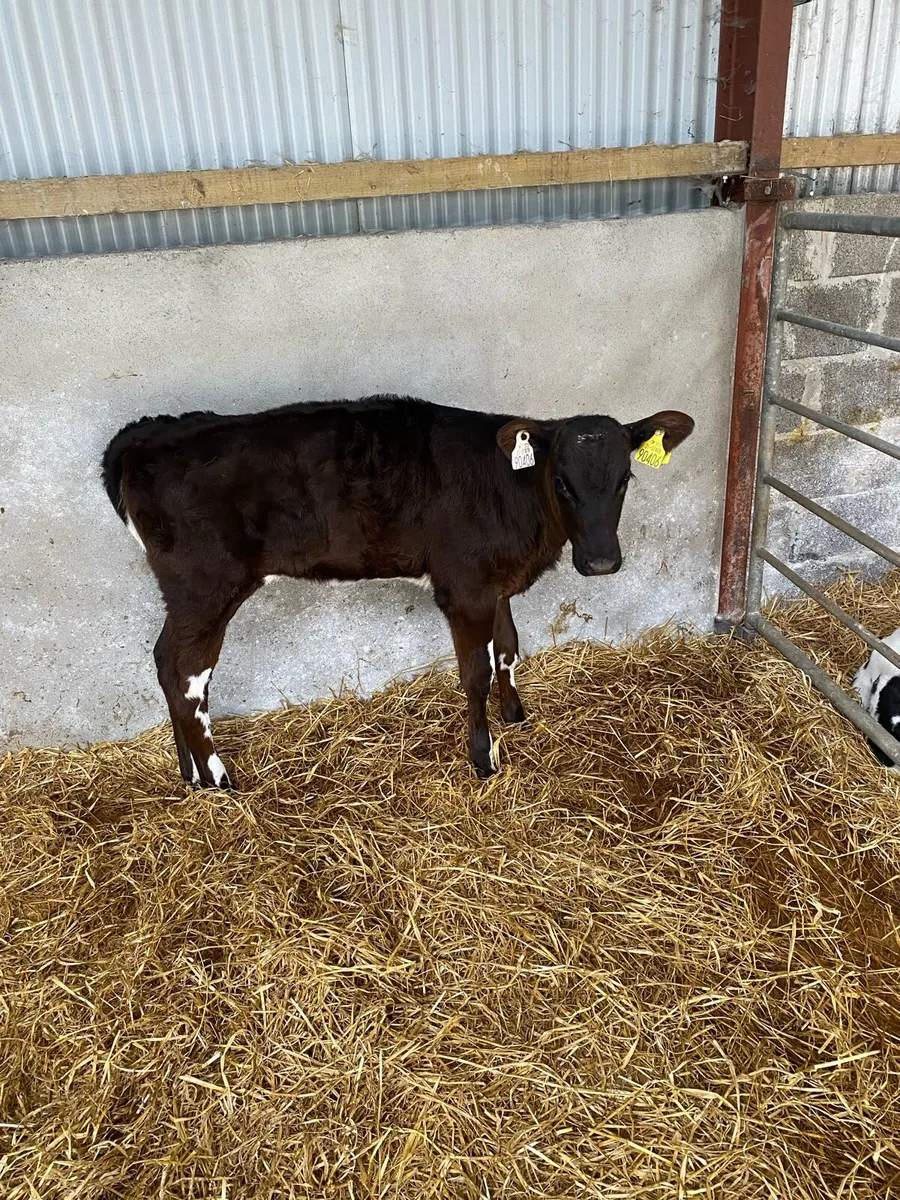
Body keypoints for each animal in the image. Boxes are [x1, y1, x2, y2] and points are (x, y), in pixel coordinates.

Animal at [101, 396, 693, 786]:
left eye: (625, 480)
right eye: (561, 481)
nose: (602, 562)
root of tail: (145, 437)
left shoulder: (496, 582)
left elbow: (508, 649)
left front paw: (515, 715)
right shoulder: (464, 586)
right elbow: (476, 672)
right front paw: (484, 759)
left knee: (163, 661)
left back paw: (188, 772)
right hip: (206, 586)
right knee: (187, 676)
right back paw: (219, 777)